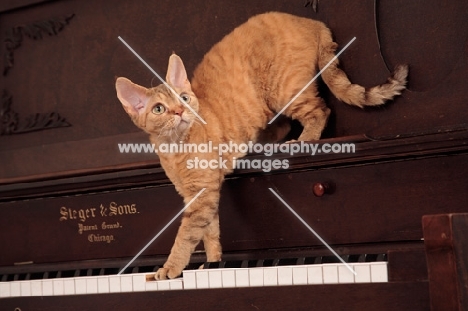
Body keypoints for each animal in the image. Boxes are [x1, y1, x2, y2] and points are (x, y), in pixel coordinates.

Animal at [115, 11, 408, 280]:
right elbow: (210, 234)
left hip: (286, 90)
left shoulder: (202, 194)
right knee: (283, 123)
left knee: (320, 111)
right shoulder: (198, 195)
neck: (174, 147)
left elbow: (186, 236)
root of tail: (307, 20)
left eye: (185, 98)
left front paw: (170, 269)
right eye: (159, 109)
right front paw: (212, 264)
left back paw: (303, 140)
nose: (180, 111)